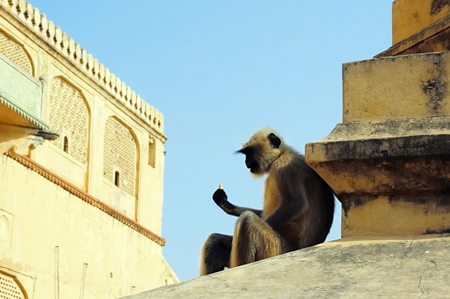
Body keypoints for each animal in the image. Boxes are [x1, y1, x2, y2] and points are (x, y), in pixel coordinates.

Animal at [200, 128, 334, 276]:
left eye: (249, 153)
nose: (247, 163)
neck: (281, 154)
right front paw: (226, 204)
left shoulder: (286, 165)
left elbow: (296, 204)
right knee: (215, 239)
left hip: (277, 248)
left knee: (248, 220)